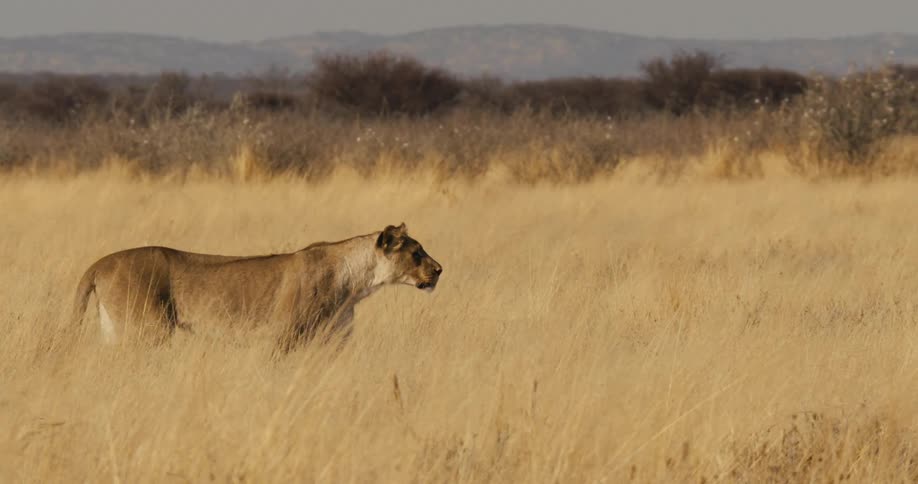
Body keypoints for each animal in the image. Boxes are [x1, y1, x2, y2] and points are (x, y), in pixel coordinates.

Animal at [70, 223, 442, 352]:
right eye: (416, 253)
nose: (439, 270)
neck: (356, 281)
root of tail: (99, 263)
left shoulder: (334, 340)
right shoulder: (283, 335)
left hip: (114, 328)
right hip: (148, 330)